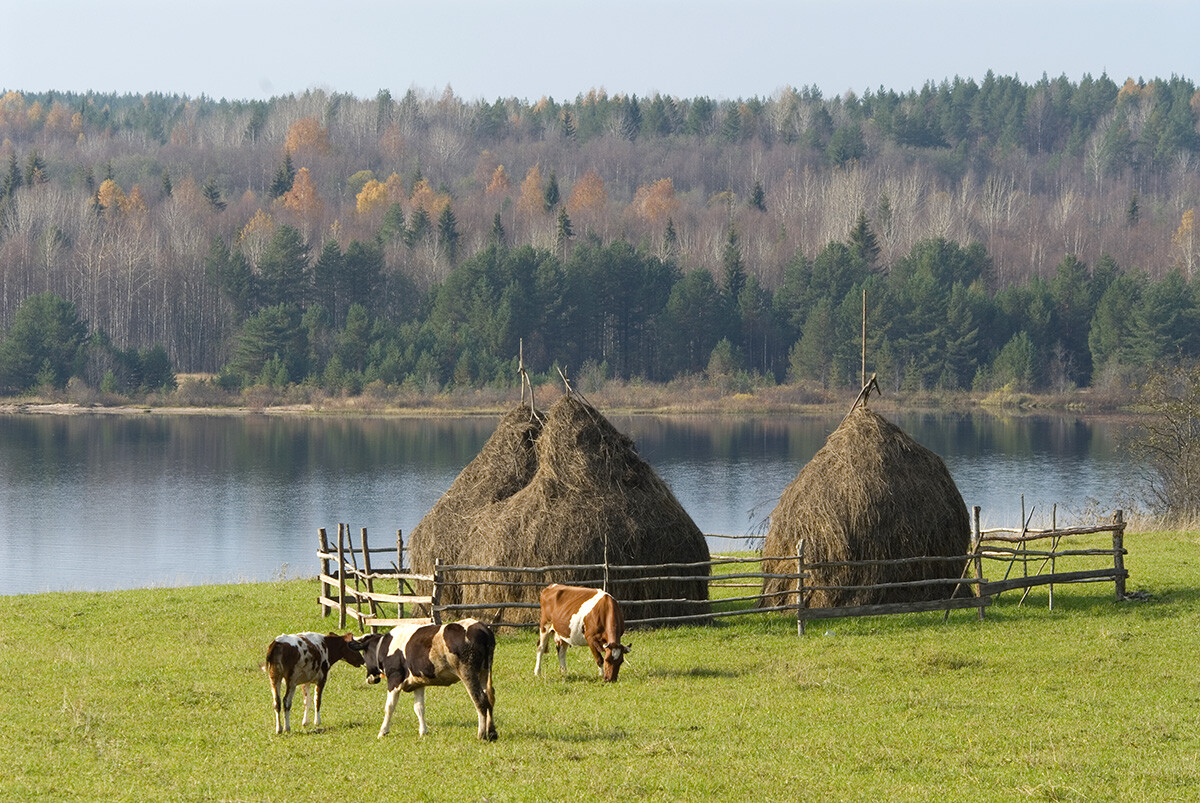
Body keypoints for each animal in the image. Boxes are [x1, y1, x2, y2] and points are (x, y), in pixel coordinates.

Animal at [348, 619, 496, 744]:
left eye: (364, 653)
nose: (369, 678)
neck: (387, 646)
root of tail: (482, 627)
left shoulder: (394, 680)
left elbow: (389, 707)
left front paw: (383, 731)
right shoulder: (418, 683)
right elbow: (419, 708)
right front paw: (423, 731)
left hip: (468, 673)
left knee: (480, 700)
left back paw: (481, 734)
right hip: (484, 673)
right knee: (489, 699)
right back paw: (492, 733)